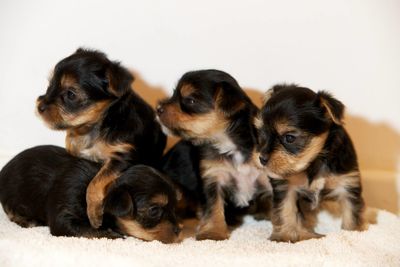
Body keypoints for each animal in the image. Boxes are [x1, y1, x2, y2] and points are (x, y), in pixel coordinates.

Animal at [0, 146, 180, 244]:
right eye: (154, 210)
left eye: (176, 207)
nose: (179, 231)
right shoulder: (65, 212)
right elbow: (88, 230)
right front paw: (112, 234)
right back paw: (27, 220)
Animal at [35, 47, 165, 228]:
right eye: (50, 85)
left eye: (70, 94)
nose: (40, 106)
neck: (95, 126)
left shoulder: (122, 157)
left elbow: (95, 183)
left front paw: (94, 215)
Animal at [156, 69, 272, 241]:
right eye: (173, 94)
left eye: (190, 100)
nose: (158, 108)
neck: (229, 144)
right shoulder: (212, 177)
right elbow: (213, 206)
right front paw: (213, 232)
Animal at [255, 85, 368, 244]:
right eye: (261, 134)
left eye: (289, 138)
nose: (262, 158)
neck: (314, 161)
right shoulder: (285, 186)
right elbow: (284, 209)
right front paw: (284, 236)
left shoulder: (348, 183)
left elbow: (352, 212)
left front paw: (354, 233)